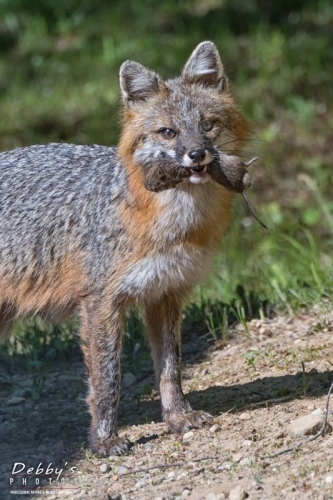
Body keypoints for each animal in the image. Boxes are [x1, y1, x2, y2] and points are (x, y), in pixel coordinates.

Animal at [0, 42, 248, 458]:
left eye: (208, 125)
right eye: (168, 132)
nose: (197, 154)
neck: (175, 225)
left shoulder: (166, 292)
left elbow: (170, 369)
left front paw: (179, 418)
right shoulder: (101, 302)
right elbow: (108, 379)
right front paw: (104, 439)